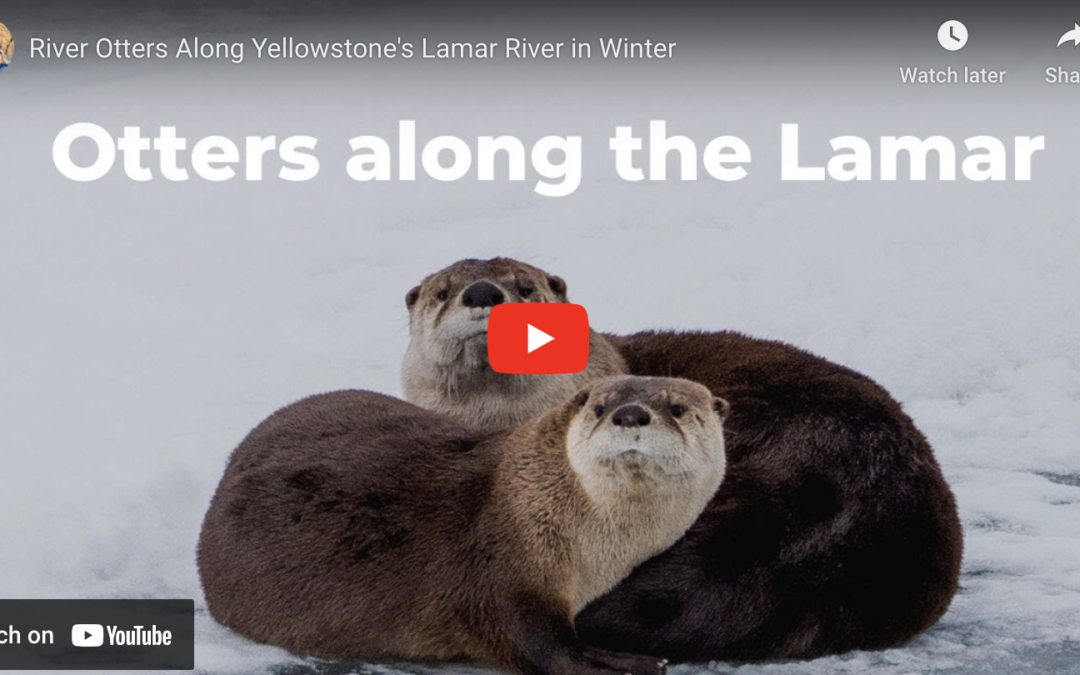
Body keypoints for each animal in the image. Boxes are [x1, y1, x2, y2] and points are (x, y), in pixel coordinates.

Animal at [198, 375, 730, 669]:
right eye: (600, 407)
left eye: (677, 408)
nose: (631, 414)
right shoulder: (494, 567)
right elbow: (535, 645)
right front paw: (630, 663)